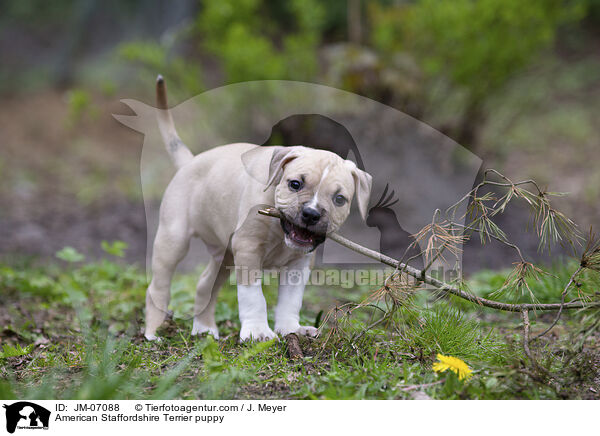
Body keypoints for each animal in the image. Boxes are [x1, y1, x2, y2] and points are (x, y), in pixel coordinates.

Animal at [145, 77, 370, 344]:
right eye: (295, 184)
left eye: (339, 199)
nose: (311, 214)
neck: (279, 230)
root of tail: (190, 161)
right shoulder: (248, 250)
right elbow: (254, 296)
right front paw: (258, 332)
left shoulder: (299, 263)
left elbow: (290, 300)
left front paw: (291, 328)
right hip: (173, 240)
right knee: (158, 288)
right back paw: (153, 332)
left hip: (224, 256)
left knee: (204, 286)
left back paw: (204, 329)